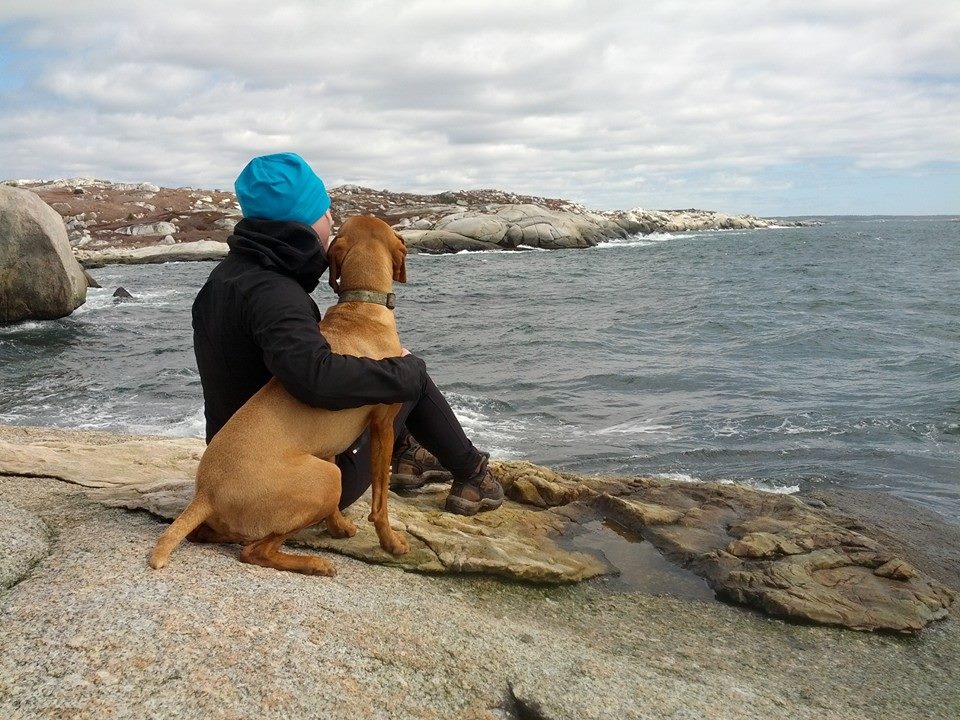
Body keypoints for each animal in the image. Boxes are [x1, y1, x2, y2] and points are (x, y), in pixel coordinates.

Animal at [148, 214, 410, 572]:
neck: (361, 306)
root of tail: (206, 494)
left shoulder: (327, 445)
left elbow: (336, 510)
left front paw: (338, 527)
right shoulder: (383, 425)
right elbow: (380, 500)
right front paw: (390, 542)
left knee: (213, 536)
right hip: (327, 478)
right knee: (254, 551)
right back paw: (313, 564)